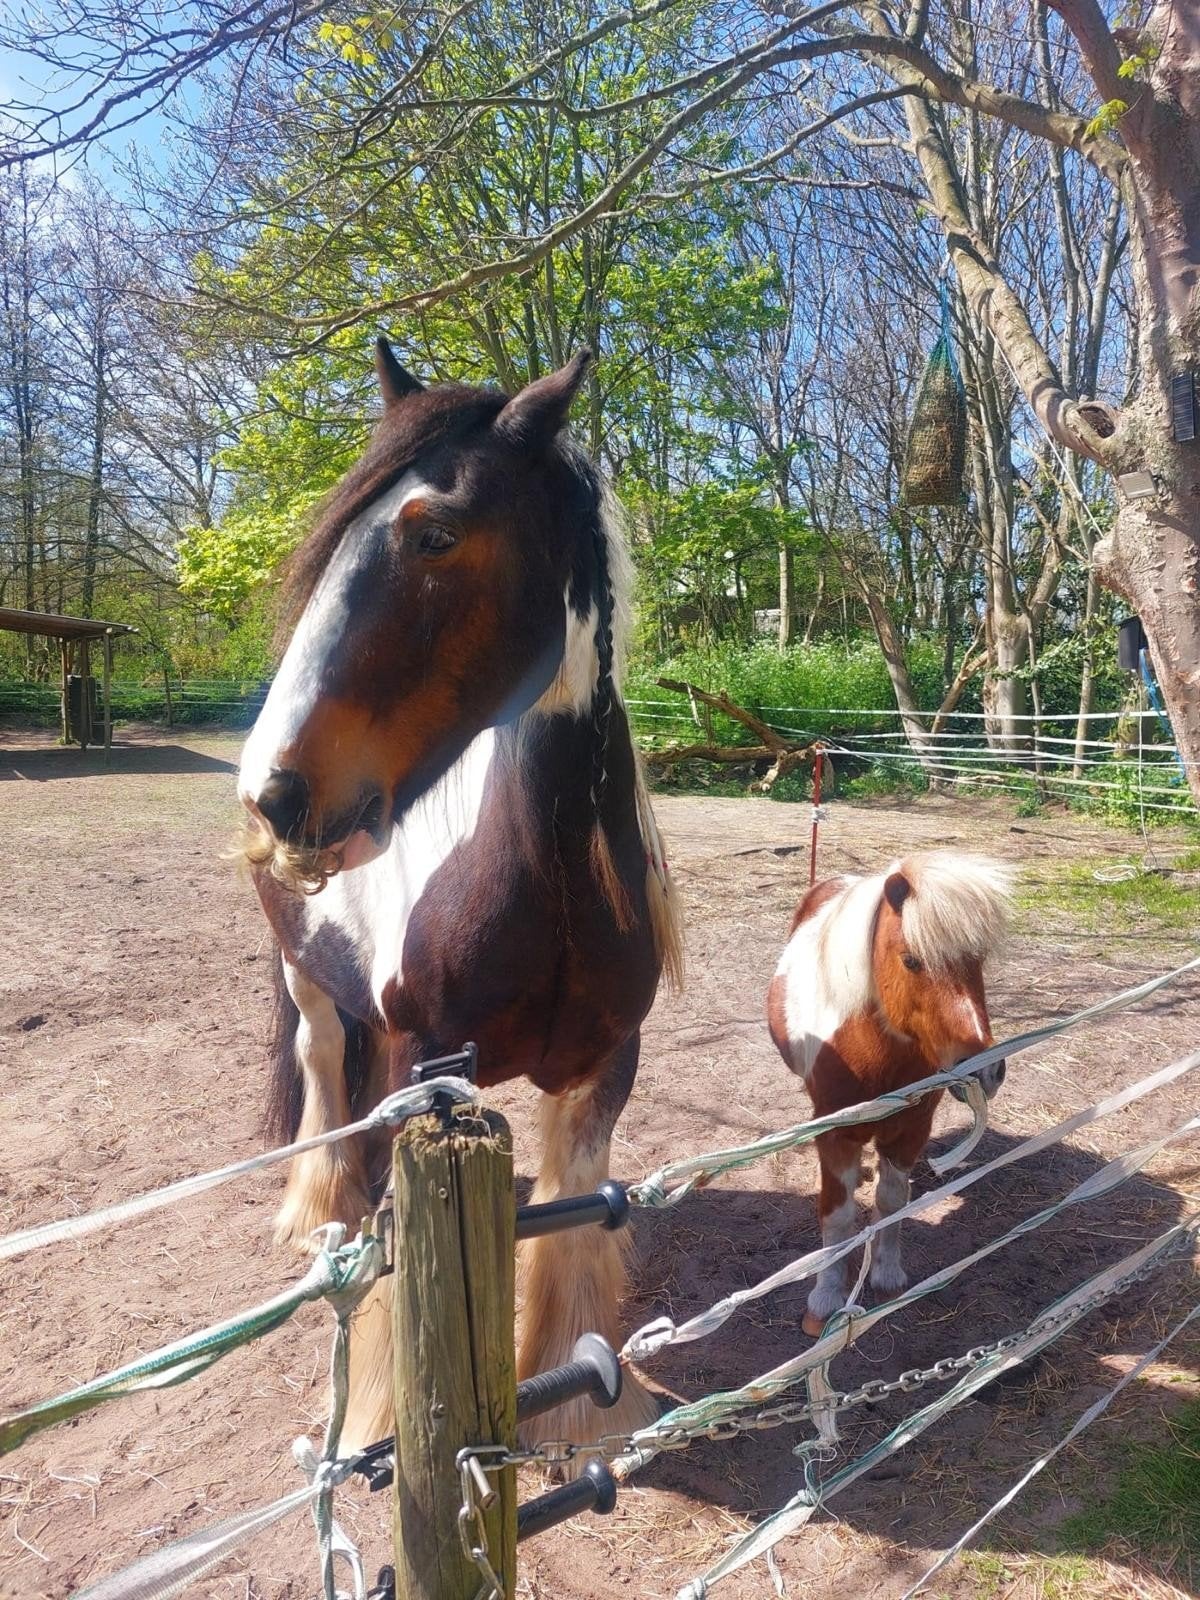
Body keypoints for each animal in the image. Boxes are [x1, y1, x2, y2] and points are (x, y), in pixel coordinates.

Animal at [236, 340, 682, 1454]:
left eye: (434, 533)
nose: (273, 792)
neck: (543, 885)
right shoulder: (425, 1072)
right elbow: (404, 1263)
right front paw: (382, 1424)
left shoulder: (604, 1067)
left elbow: (572, 1215)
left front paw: (578, 1414)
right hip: (306, 975)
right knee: (322, 1068)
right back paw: (320, 1207)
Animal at [767, 851, 1012, 1334]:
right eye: (912, 961)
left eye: (977, 959)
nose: (986, 1071)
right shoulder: (835, 1136)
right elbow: (838, 1216)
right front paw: (825, 1299)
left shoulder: (911, 1130)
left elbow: (893, 1202)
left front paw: (887, 1277)